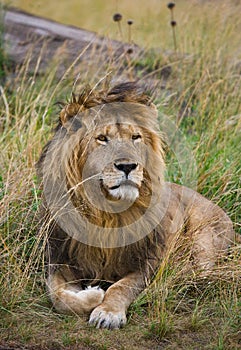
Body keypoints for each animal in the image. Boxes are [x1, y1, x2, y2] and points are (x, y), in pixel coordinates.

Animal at [37, 82, 235, 330]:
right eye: (102, 138)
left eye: (135, 137)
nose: (128, 166)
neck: (105, 214)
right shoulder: (60, 257)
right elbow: (58, 297)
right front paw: (92, 294)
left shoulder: (147, 260)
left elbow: (121, 286)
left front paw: (107, 312)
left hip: (204, 238)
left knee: (200, 273)